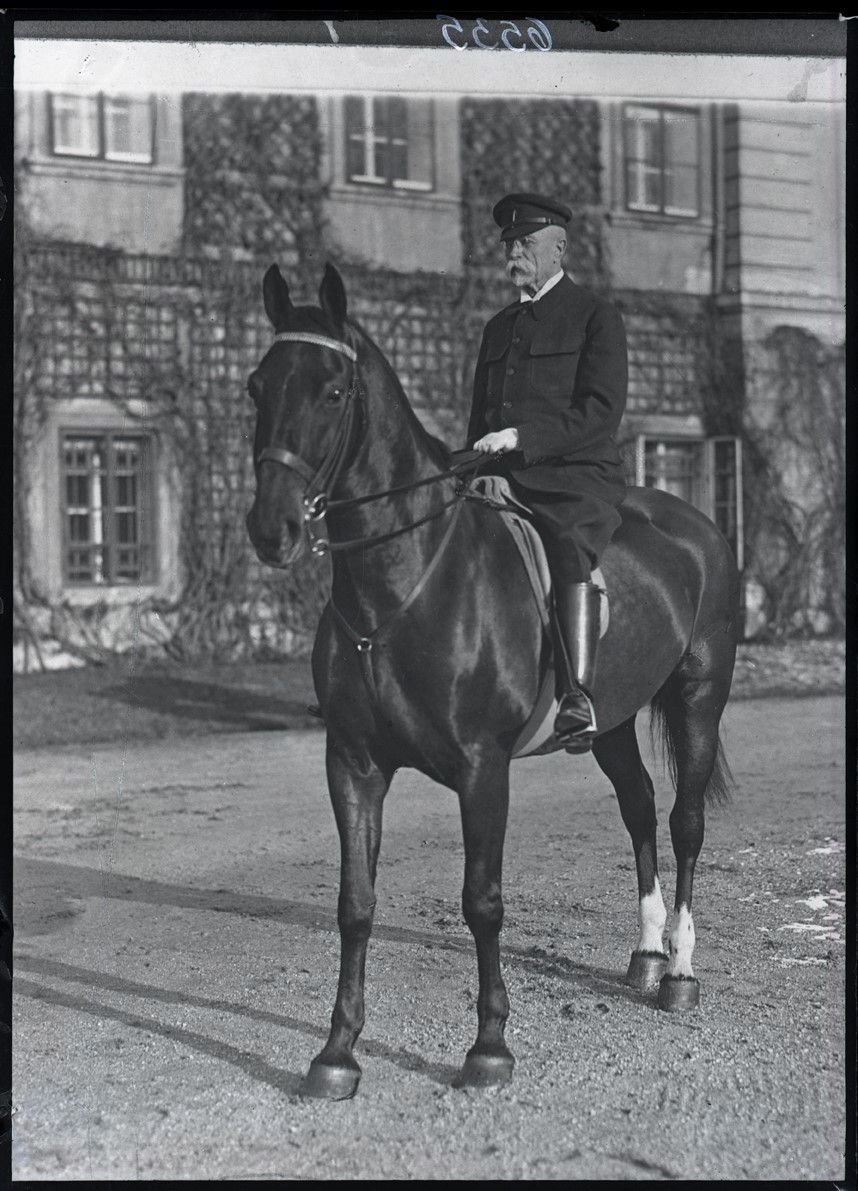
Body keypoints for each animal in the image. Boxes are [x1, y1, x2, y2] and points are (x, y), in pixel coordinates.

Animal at [244, 260, 738, 1095]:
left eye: (333, 392)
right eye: (256, 385)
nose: (269, 528)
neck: (403, 582)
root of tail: (699, 525)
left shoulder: (483, 769)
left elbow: (482, 901)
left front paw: (490, 1047)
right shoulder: (353, 762)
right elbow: (355, 902)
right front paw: (336, 1052)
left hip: (698, 703)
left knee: (684, 823)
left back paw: (680, 970)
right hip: (610, 721)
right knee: (639, 810)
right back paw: (646, 956)